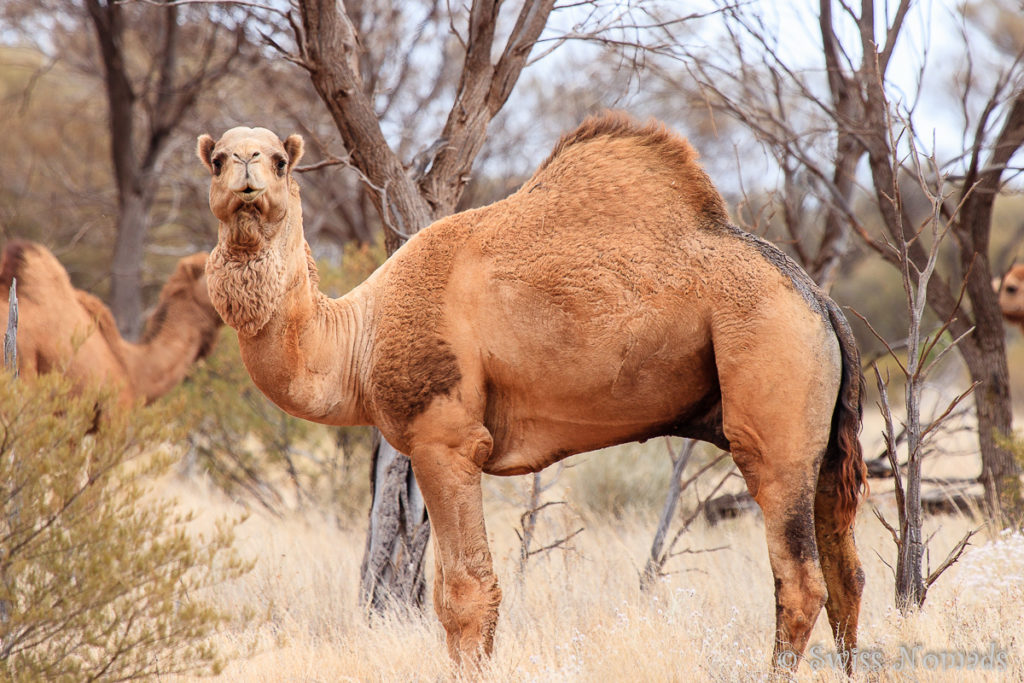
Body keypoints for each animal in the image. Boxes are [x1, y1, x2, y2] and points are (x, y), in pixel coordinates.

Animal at [201, 112, 872, 671]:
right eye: (218, 159)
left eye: (279, 160)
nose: (247, 170)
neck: (357, 341)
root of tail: (822, 303)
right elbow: (456, 593)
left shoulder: (445, 439)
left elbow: (465, 592)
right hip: (821, 446)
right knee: (847, 575)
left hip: (771, 399)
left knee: (799, 577)